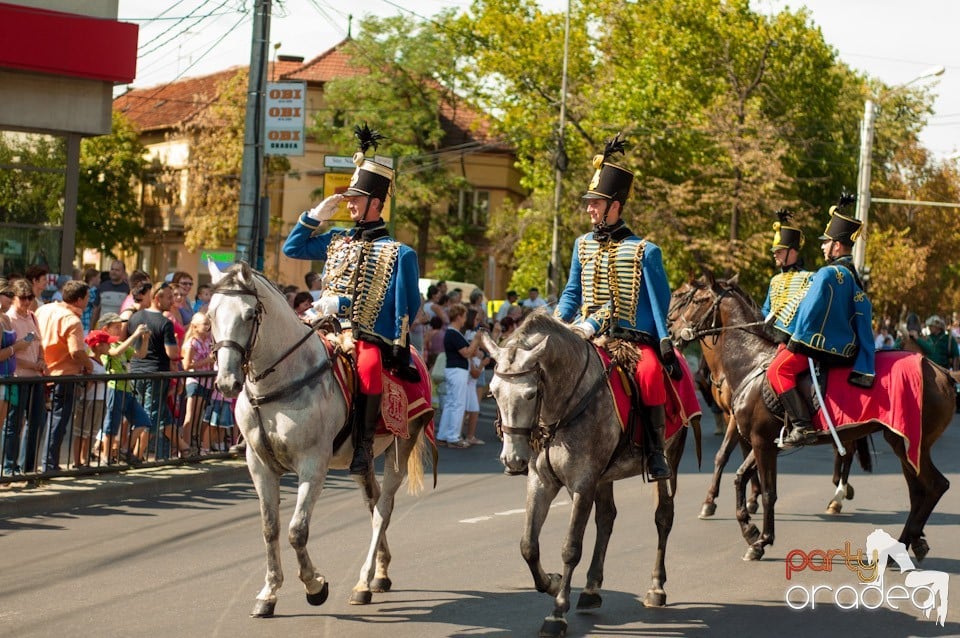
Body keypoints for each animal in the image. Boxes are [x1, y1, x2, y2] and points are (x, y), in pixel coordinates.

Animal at [211, 262, 436, 616]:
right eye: (210, 314)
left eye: (248, 315)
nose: (226, 382)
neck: (280, 385)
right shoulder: (259, 464)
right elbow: (270, 528)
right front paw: (268, 593)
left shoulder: (313, 464)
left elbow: (296, 531)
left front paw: (314, 586)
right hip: (362, 460)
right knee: (373, 502)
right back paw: (380, 573)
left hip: (402, 444)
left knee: (383, 509)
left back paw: (363, 583)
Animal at [480, 316, 696, 638]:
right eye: (493, 392)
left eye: (529, 394)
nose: (513, 460)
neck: (561, 408)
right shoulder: (542, 481)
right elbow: (528, 545)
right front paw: (553, 583)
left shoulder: (582, 484)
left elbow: (570, 548)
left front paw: (557, 613)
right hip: (604, 477)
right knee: (606, 518)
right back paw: (592, 589)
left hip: (669, 457)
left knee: (663, 517)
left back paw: (656, 587)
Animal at [668, 272, 952, 564]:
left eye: (696, 300)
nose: (672, 332)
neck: (751, 361)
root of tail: (940, 372)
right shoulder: (765, 443)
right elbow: (738, 476)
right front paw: (749, 529)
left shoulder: (761, 442)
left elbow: (768, 492)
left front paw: (761, 541)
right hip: (904, 445)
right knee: (918, 491)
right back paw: (906, 543)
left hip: (910, 445)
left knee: (933, 486)